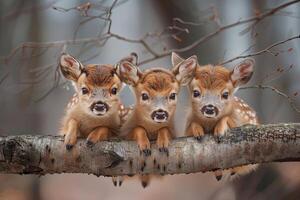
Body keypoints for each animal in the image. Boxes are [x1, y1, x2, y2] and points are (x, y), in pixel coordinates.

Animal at [116, 57, 198, 187]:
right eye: (144, 95)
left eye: (173, 95)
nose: (160, 113)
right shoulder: (124, 133)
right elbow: (138, 128)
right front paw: (144, 146)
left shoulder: (174, 133)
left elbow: (165, 129)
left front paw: (163, 144)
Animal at [172, 52, 258, 180]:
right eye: (196, 92)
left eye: (225, 94)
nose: (209, 108)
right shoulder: (186, 129)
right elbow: (192, 125)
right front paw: (198, 132)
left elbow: (227, 118)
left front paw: (219, 131)